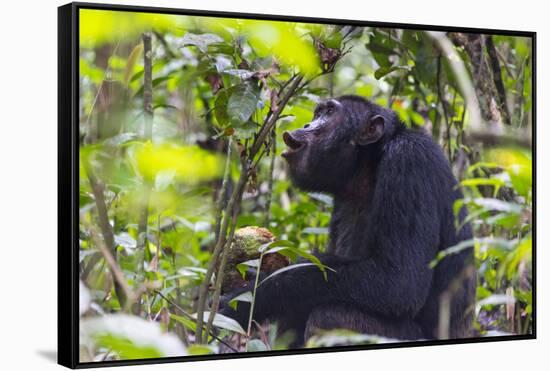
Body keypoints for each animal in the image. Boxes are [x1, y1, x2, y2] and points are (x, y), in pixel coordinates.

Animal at [218, 95, 476, 346]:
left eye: (330, 113)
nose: (307, 124)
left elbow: (400, 280)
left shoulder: (409, 163)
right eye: (318, 113)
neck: (368, 168)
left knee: (331, 316)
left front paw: (252, 295)